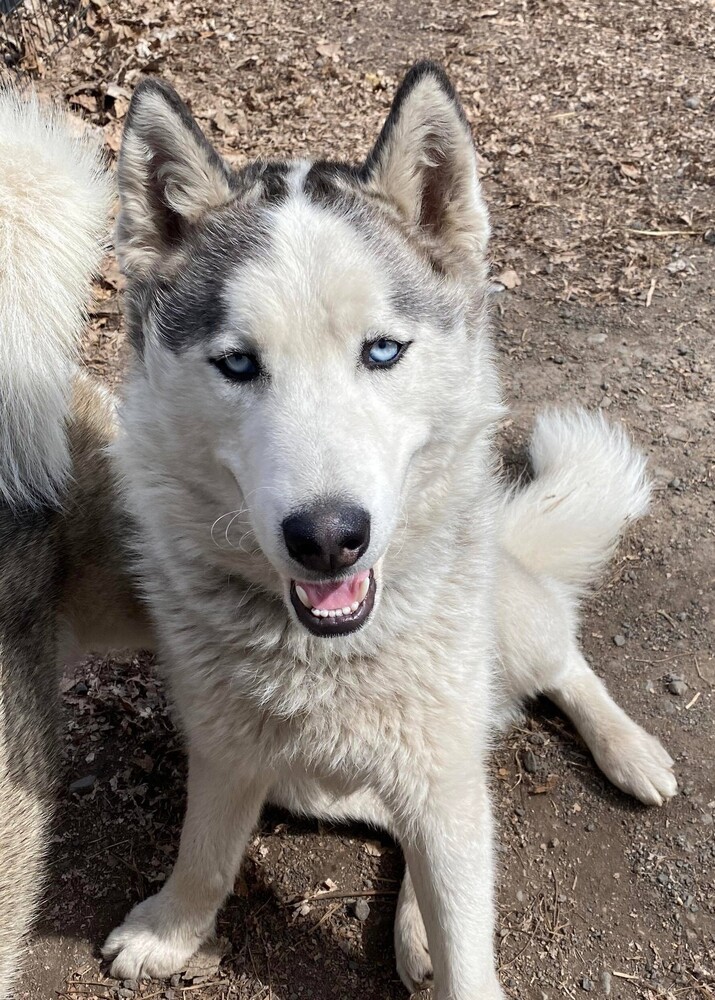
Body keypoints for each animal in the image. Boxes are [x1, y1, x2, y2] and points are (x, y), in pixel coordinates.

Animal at [98, 64, 680, 1000]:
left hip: (509, 636)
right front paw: (173, 929)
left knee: (563, 667)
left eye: (380, 352)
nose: (328, 536)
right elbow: (204, 851)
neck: (329, 659)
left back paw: (626, 750)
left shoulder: (440, 778)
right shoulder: (224, 748)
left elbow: (468, 936)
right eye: (237, 363)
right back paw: (411, 921)